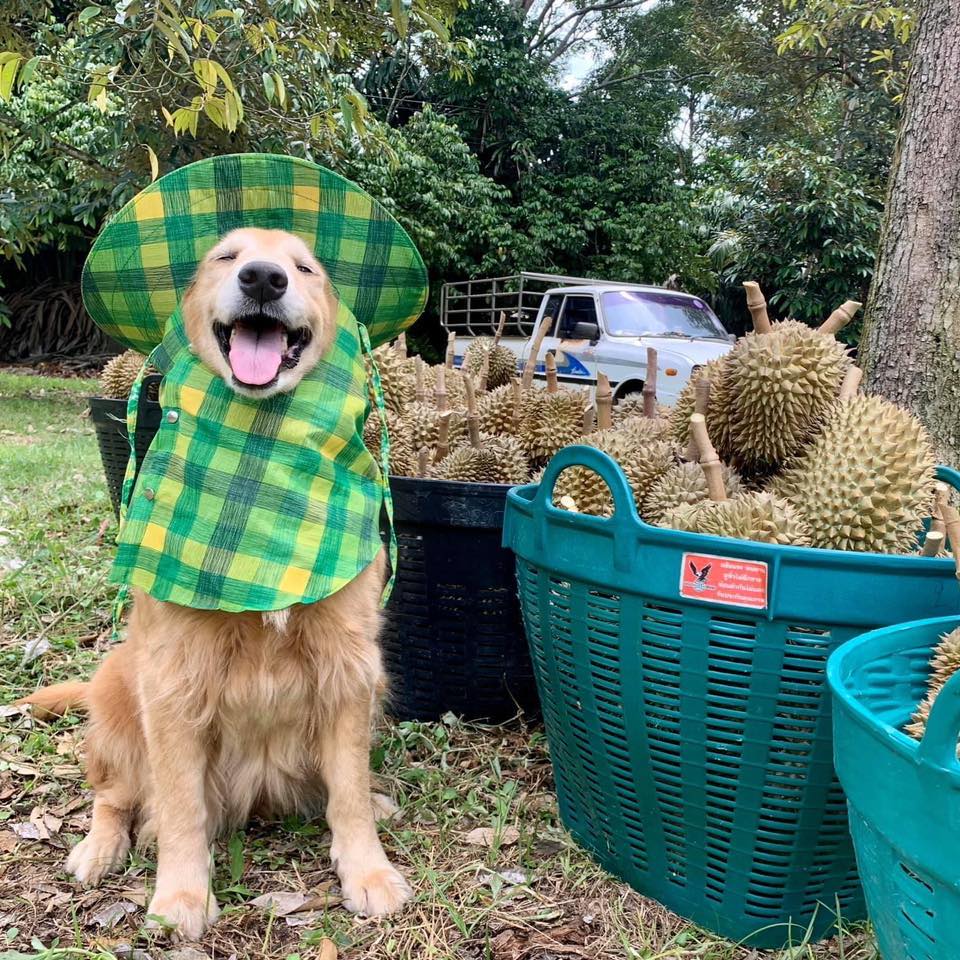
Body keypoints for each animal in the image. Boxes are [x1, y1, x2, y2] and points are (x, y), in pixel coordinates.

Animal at [21, 231, 412, 936]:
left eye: (305, 268)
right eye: (226, 257)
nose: (264, 278)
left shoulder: (348, 668)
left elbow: (345, 796)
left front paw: (368, 871)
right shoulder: (174, 682)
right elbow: (181, 808)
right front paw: (179, 894)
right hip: (118, 694)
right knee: (114, 796)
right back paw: (100, 848)